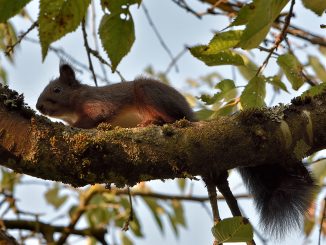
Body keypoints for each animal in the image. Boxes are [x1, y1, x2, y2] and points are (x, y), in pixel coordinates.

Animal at [36, 63, 194, 128]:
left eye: (57, 90)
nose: (39, 106)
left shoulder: (94, 101)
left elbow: (97, 115)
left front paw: (74, 125)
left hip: (148, 91)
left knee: (175, 117)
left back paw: (152, 121)